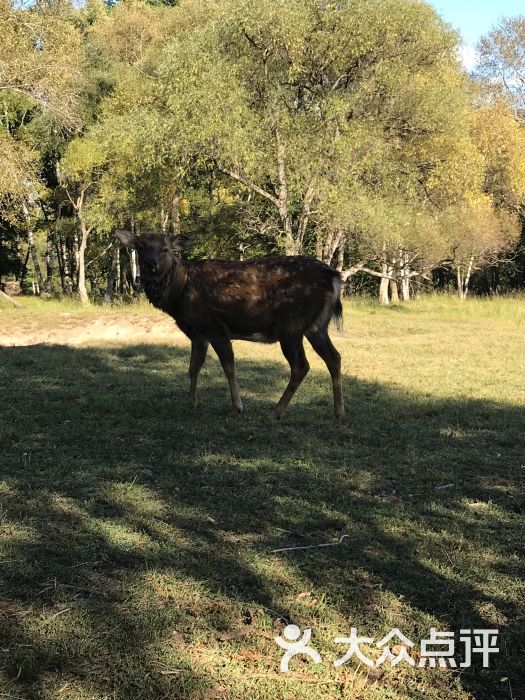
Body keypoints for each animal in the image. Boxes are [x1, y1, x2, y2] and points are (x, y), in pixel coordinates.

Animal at [115, 230, 344, 418]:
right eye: (140, 247)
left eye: (166, 249)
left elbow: (228, 366)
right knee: (334, 357)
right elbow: (193, 367)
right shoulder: (198, 333)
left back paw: (275, 412)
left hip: (291, 325)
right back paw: (338, 412)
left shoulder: (214, 326)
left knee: (301, 365)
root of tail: (334, 278)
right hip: (317, 327)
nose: (150, 265)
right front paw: (191, 403)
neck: (180, 291)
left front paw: (238, 407)